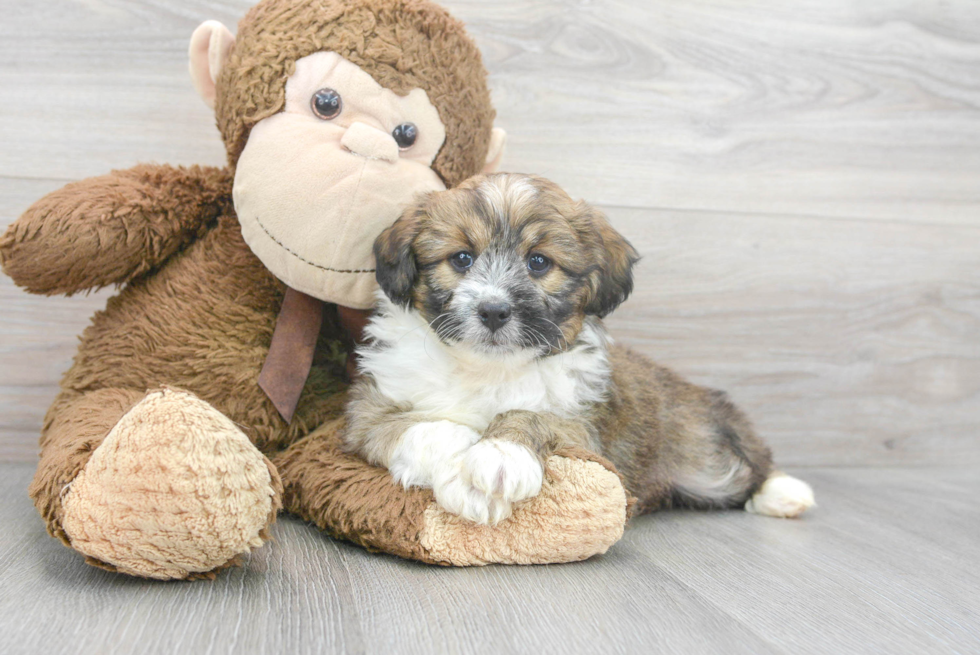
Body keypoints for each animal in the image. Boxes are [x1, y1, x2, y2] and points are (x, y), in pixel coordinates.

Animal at [340, 172, 816, 524]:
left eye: (538, 262)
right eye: (461, 259)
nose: (493, 311)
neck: (486, 369)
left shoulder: (583, 431)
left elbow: (535, 416)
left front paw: (500, 453)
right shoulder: (367, 411)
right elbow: (412, 426)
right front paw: (465, 459)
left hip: (710, 452)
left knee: (754, 461)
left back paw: (783, 492)